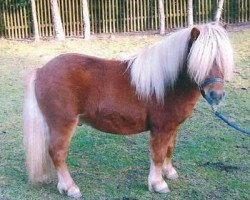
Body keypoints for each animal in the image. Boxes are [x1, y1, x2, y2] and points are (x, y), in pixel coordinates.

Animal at [23, 23, 234, 197]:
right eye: (200, 60)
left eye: (222, 58)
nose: (216, 95)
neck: (168, 84)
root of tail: (41, 71)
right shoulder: (161, 128)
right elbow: (158, 154)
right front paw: (158, 184)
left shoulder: (172, 127)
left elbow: (169, 149)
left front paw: (169, 172)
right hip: (63, 124)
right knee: (57, 153)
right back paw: (70, 188)